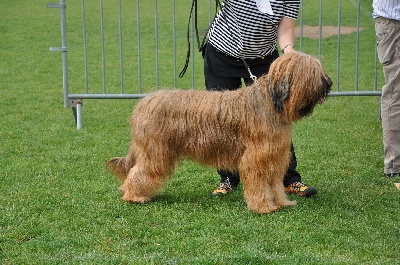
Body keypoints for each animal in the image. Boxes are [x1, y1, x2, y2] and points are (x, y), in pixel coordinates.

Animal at [105, 51, 332, 212]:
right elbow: (259, 184)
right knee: (139, 171)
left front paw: (282, 203)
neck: (270, 102)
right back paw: (134, 195)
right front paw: (264, 207)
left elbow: (275, 184)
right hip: (156, 152)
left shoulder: (275, 156)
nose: (329, 83)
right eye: (312, 71)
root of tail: (144, 102)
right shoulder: (256, 158)